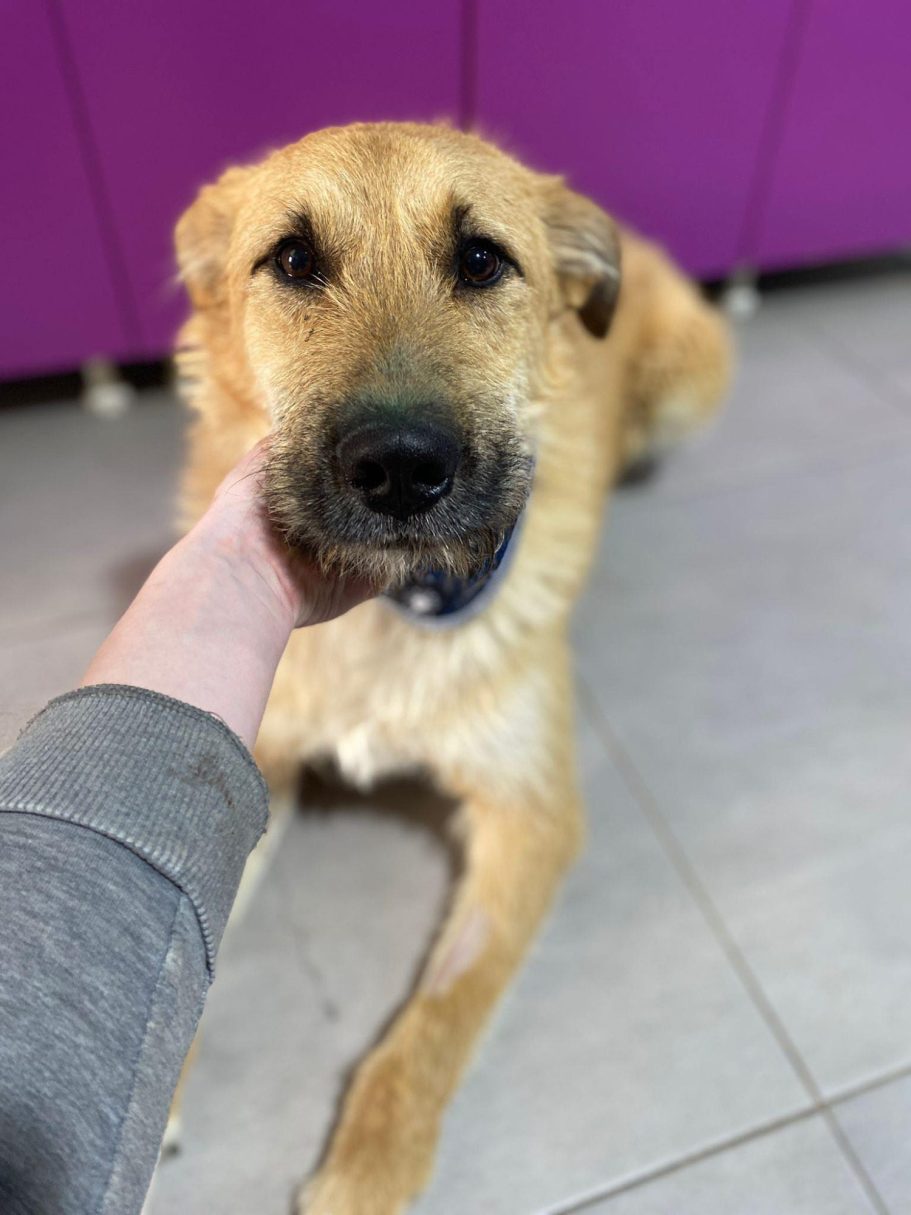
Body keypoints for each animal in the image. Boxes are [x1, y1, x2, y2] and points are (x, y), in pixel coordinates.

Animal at [174, 121, 732, 1214]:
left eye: (479, 260)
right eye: (291, 260)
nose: (397, 467)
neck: (393, 611)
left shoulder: (529, 815)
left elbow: (437, 1018)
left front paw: (366, 1173)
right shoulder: (252, 763)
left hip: (696, 375)